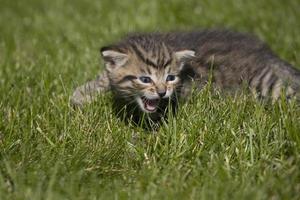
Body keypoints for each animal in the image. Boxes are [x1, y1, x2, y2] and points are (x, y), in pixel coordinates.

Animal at [71, 29, 300, 126]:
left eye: (170, 77)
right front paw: (81, 95)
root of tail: (267, 53)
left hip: (265, 83)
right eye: (145, 79)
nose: (162, 92)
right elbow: (105, 77)